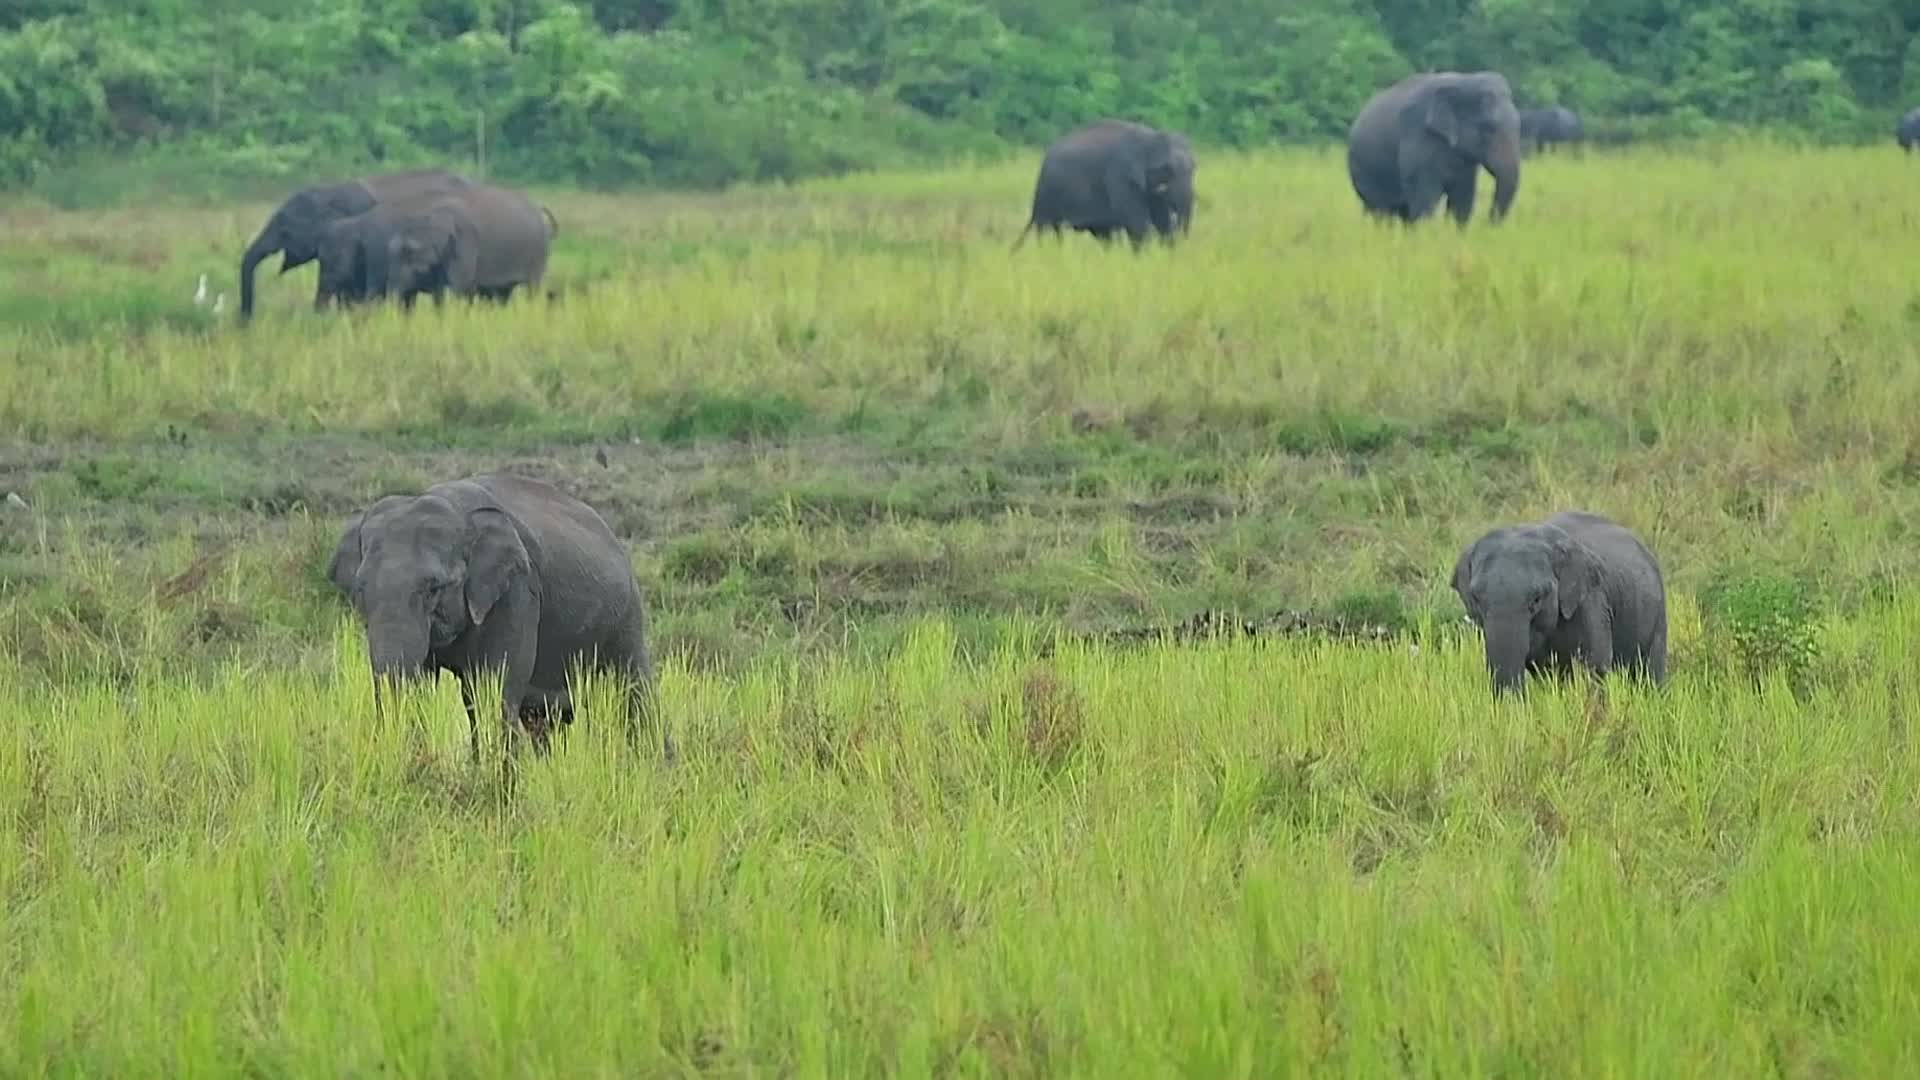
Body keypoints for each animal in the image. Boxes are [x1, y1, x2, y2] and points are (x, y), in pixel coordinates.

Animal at [327, 472, 672, 780]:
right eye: (359, 589)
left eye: (434, 588)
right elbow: (426, 686)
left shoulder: (517, 590)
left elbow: (492, 688)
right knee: (546, 718)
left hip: (625, 617)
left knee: (634, 694)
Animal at [360, 185, 558, 309]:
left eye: (409, 253)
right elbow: (440, 291)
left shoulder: (466, 245)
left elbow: (460, 287)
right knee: (502, 293)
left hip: (538, 254)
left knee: (532, 288)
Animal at [1011, 119, 1196, 251]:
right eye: (1167, 169)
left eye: (1194, 167)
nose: (1183, 237)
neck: (1149, 136)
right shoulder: (1119, 176)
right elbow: (1136, 222)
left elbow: (1161, 218)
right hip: (1048, 195)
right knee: (1048, 228)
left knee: (1100, 233)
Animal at [1347, 71, 1522, 226]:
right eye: (1488, 128)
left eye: (1518, 125)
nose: (1488, 223)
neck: (1464, 79)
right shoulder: (1418, 137)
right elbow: (1424, 199)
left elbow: (1462, 198)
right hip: (1363, 171)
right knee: (1382, 211)